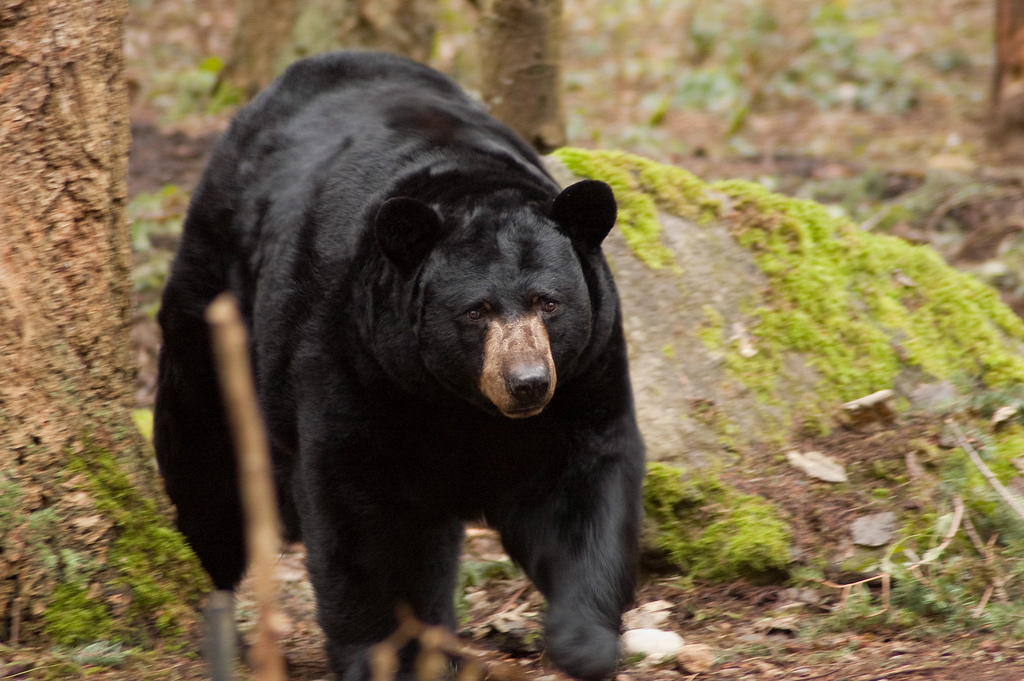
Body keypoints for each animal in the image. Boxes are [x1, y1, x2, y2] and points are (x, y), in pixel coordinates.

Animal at [155, 51, 643, 679]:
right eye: (477, 310)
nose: (527, 384)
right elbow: (363, 508)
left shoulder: (586, 368)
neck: (460, 401)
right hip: (218, 305)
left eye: (549, 302)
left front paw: (584, 639)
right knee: (207, 462)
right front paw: (391, 653)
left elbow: (578, 481)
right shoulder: (357, 358)